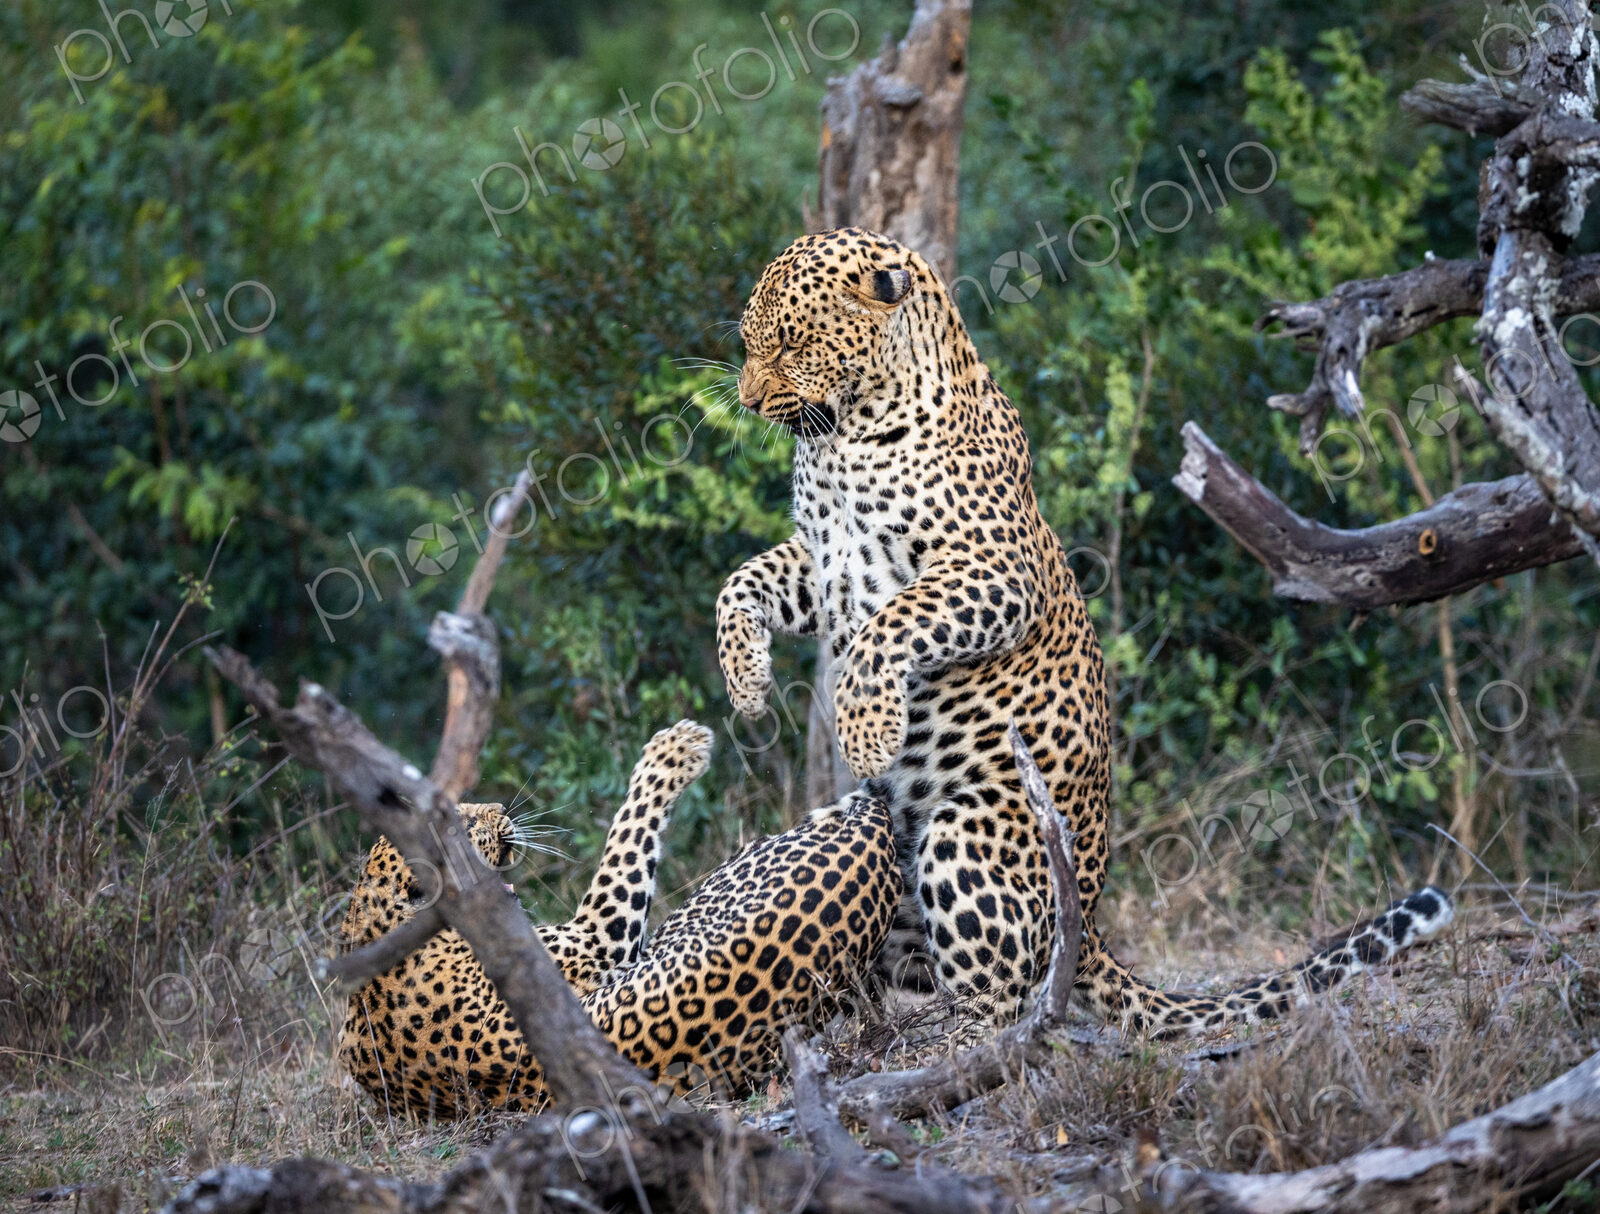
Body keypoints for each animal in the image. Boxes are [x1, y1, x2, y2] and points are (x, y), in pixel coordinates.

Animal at [715, 226, 1453, 1037]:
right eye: (750, 344)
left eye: (790, 343)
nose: (749, 400)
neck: (844, 433)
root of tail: (1093, 925)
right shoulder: (823, 563)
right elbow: (741, 581)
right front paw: (746, 680)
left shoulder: (996, 571)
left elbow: (890, 626)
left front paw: (868, 731)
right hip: (856, 827)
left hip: (965, 835)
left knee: (1001, 992)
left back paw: (955, 1038)